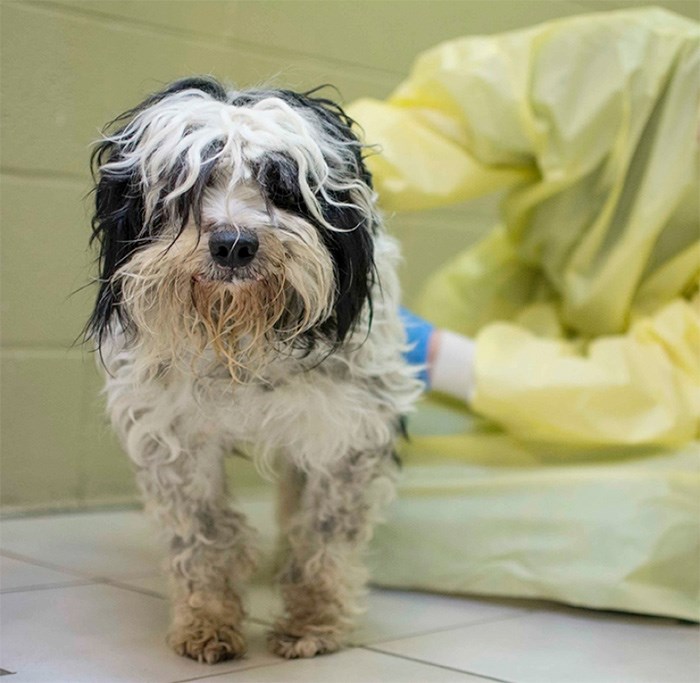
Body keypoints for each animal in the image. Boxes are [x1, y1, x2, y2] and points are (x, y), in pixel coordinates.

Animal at [89, 76, 422, 664]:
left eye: (282, 185)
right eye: (185, 184)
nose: (234, 244)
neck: (241, 339)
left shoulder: (347, 432)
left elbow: (323, 536)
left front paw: (313, 622)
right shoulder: (172, 436)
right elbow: (202, 534)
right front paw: (207, 621)